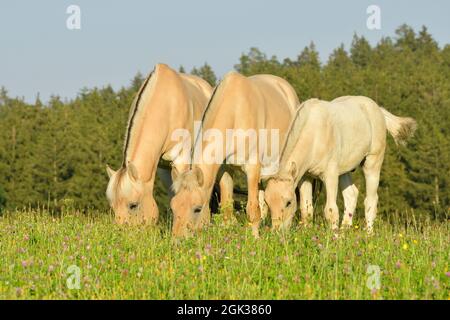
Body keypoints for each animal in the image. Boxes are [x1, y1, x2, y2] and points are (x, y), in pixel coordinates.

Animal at [105, 63, 232, 225]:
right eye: (112, 206)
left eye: (133, 205)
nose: (120, 231)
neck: (167, 104)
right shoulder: (162, 167)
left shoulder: (182, 160)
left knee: (226, 182)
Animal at [171, 71, 300, 239]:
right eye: (173, 206)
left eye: (197, 208)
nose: (177, 240)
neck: (235, 112)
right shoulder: (225, 169)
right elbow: (227, 208)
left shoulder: (252, 168)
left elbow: (252, 209)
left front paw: (255, 239)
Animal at [264, 96, 414, 234]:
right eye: (267, 202)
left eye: (288, 202)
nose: (277, 232)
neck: (315, 134)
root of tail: (378, 109)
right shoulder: (306, 177)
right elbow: (306, 210)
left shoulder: (330, 175)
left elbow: (331, 210)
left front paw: (333, 238)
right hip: (344, 170)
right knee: (351, 195)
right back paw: (344, 232)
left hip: (373, 163)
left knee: (371, 200)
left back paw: (368, 234)